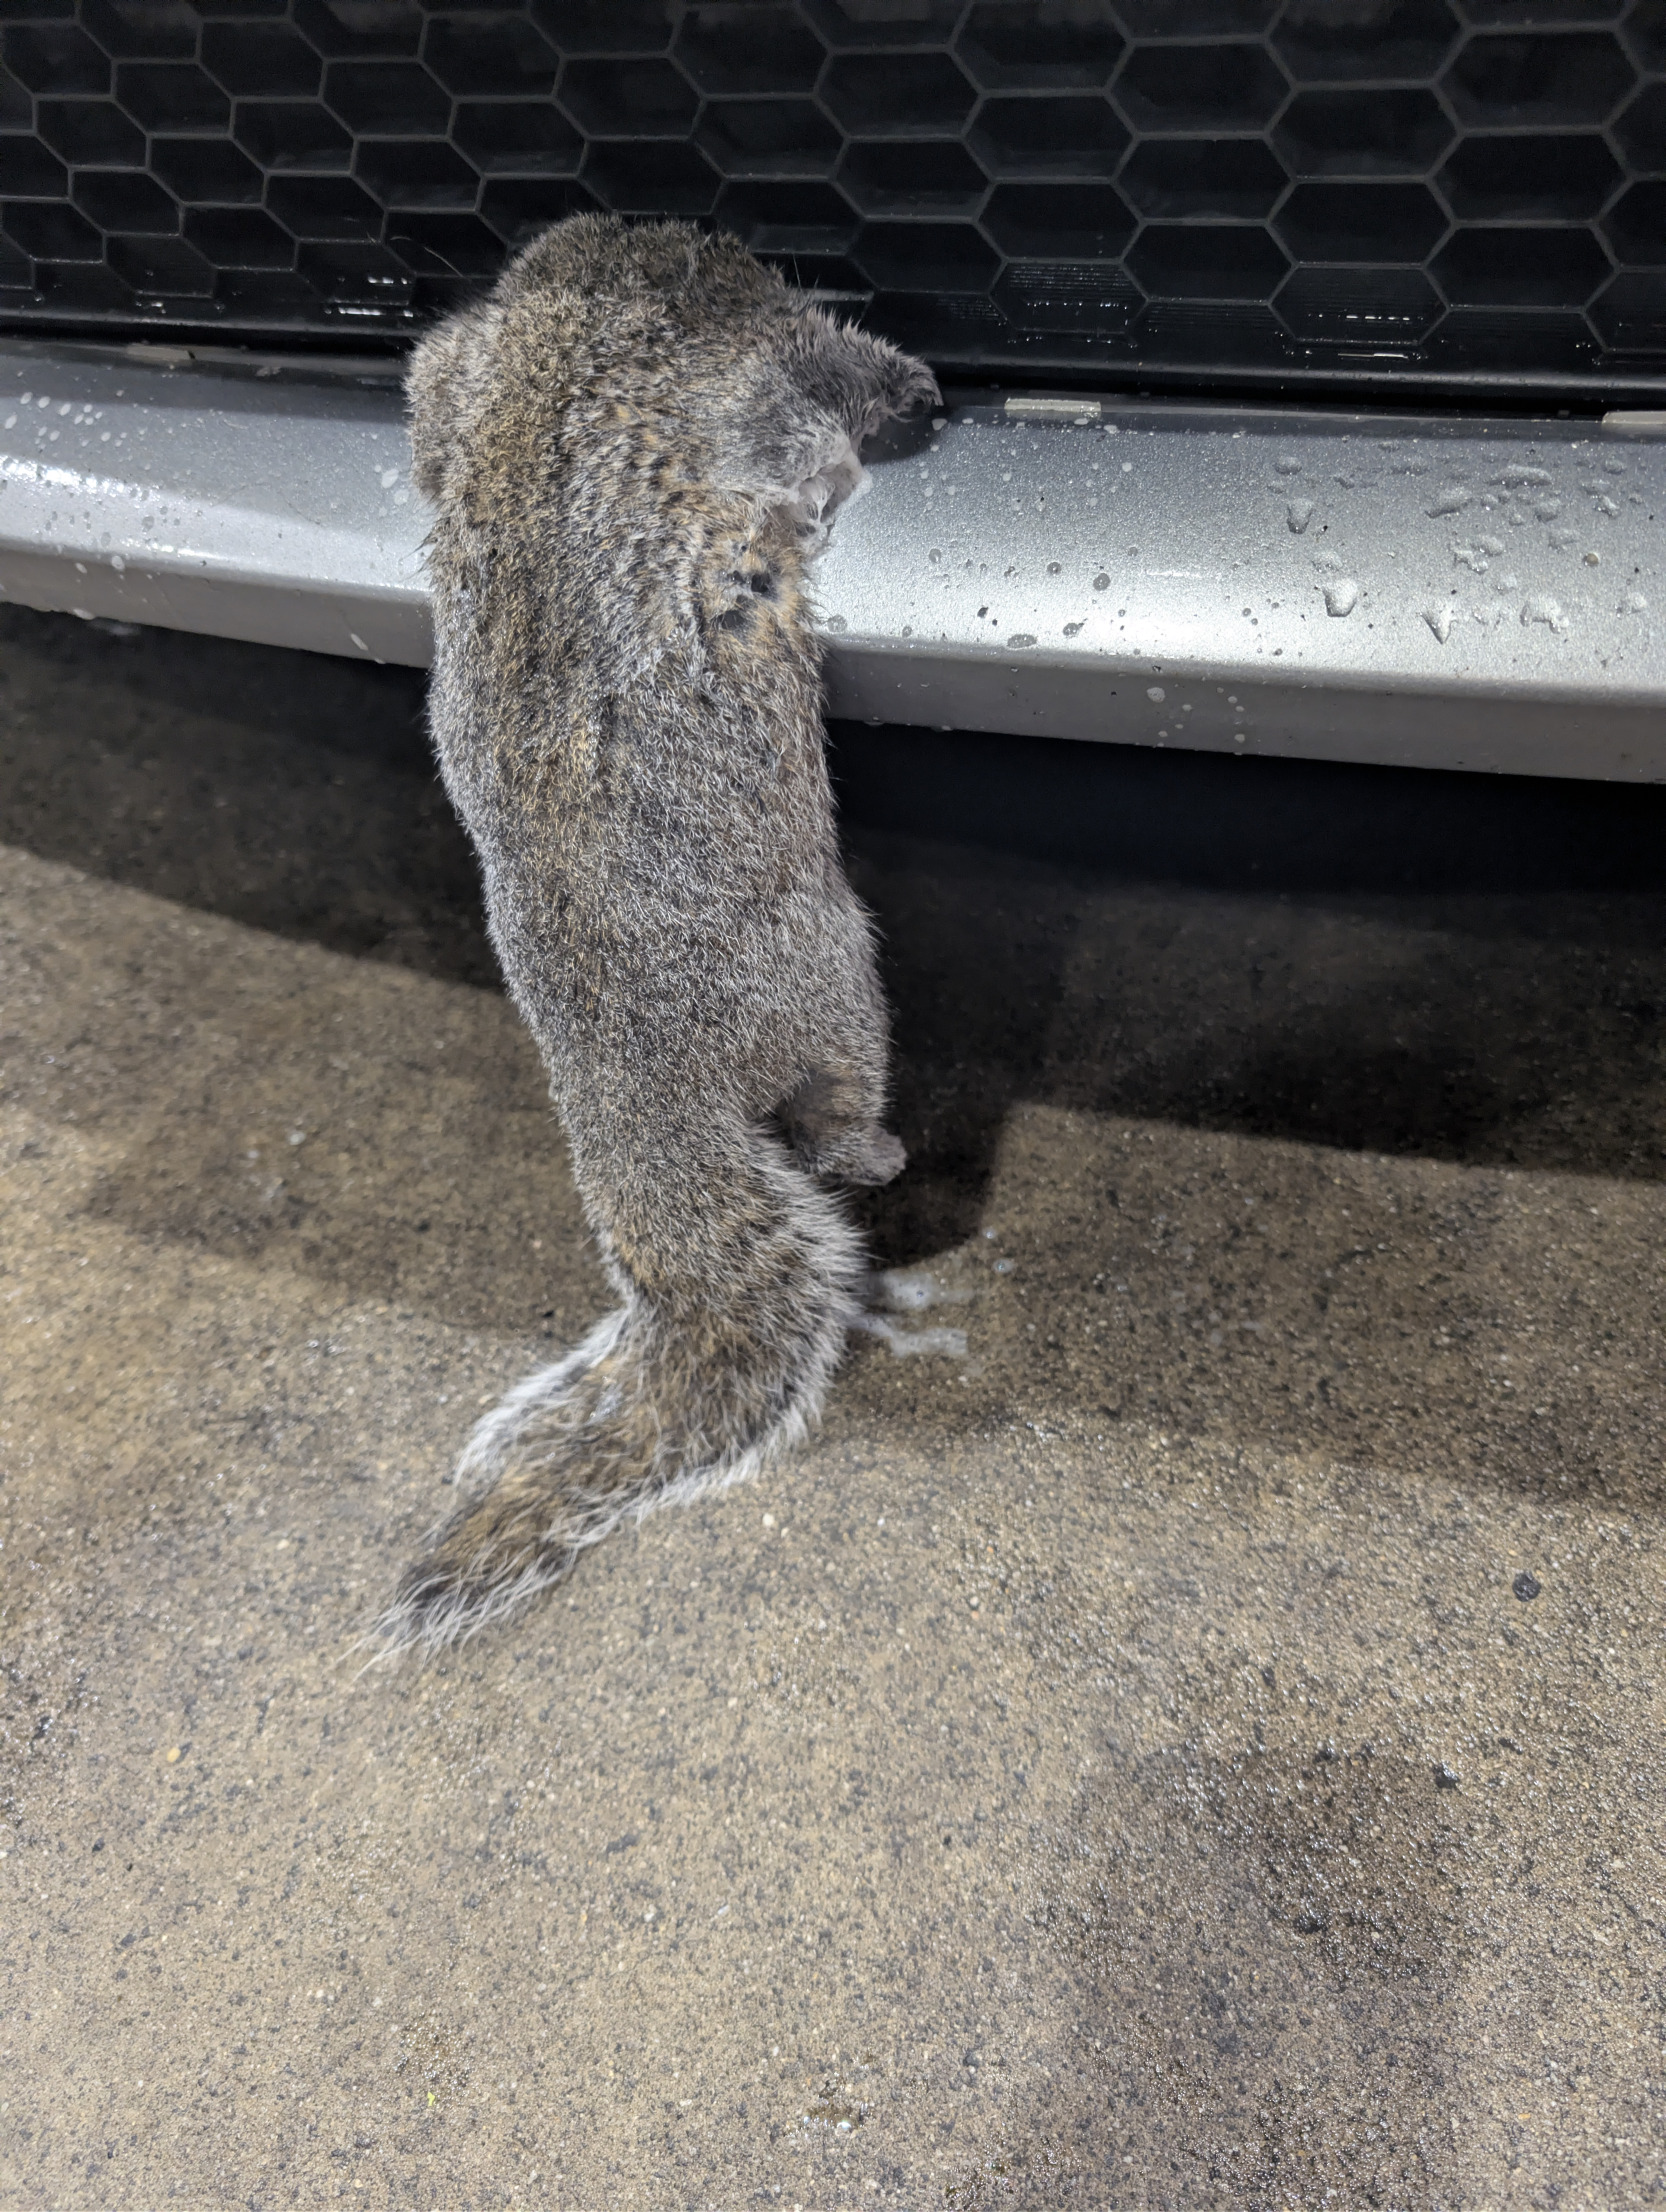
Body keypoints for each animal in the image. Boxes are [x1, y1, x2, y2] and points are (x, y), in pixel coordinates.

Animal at [373, 214, 939, 1656]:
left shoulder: (459, 377)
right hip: (831, 974)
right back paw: (875, 1147)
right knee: (835, 1115)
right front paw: (896, 389)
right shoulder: (745, 387)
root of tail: (632, 1086)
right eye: (739, 260)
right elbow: (811, 415)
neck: (563, 338)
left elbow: (423, 398)